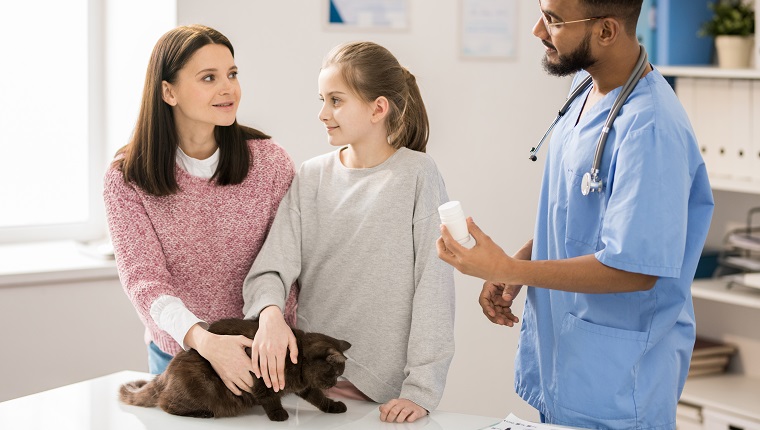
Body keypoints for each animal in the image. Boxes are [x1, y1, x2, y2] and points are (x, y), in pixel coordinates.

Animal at [119, 320, 354, 420]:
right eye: (335, 373)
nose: (335, 383)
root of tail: (166, 373)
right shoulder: (259, 375)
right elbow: (269, 398)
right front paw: (278, 414)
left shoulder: (306, 386)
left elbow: (319, 398)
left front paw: (334, 406)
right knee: (165, 403)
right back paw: (203, 413)